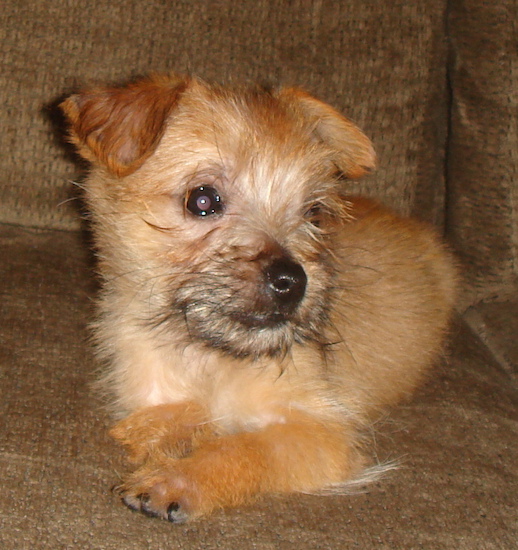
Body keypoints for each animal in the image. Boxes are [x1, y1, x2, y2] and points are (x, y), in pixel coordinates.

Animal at [62, 74, 460, 528]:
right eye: (202, 200)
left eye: (314, 214)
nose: (293, 280)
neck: (209, 357)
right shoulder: (151, 396)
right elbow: (172, 417)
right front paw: (174, 437)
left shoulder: (323, 433)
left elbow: (245, 447)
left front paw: (180, 479)